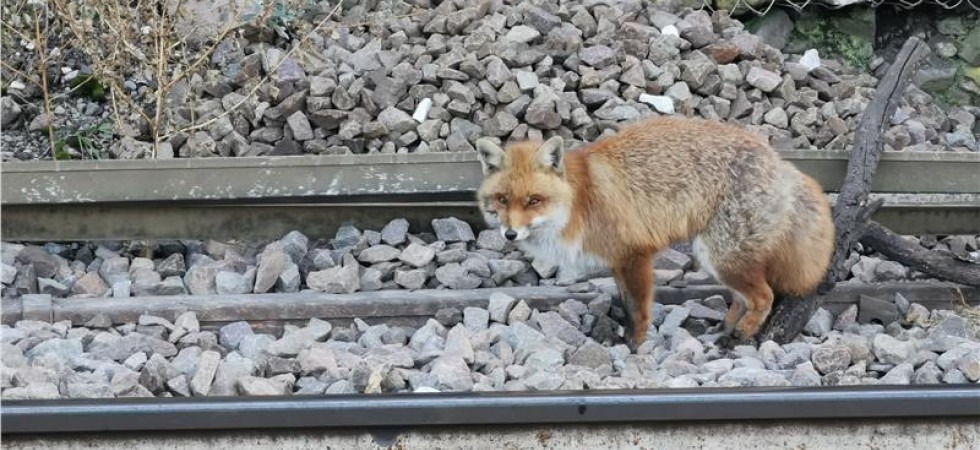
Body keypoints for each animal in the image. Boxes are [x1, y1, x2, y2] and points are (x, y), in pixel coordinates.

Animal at [475, 115, 835, 350]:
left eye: (534, 200)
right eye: (502, 199)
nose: (510, 234)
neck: (579, 201)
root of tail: (779, 161)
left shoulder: (635, 255)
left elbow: (638, 308)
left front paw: (635, 345)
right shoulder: (617, 262)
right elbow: (624, 304)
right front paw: (622, 336)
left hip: (720, 255)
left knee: (763, 297)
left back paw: (738, 336)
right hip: (720, 256)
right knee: (742, 297)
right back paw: (725, 327)